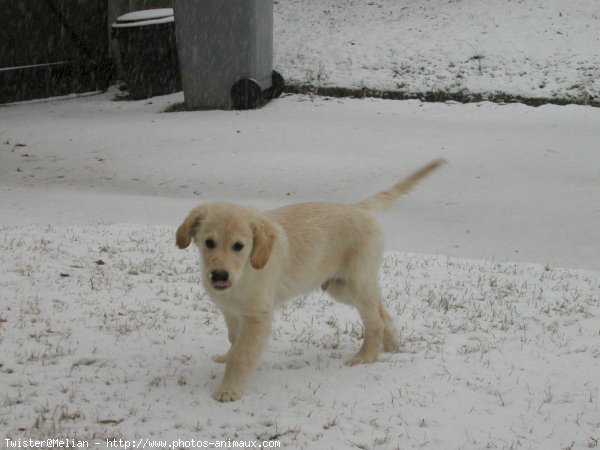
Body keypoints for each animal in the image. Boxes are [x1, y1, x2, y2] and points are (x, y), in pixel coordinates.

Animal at [176, 159, 442, 400]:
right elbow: (235, 340)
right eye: (209, 242)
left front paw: (229, 389)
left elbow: (242, 353)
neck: (245, 273)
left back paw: (366, 356)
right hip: (342, 286)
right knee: (382, 311)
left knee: (374, 321)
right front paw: (228, 357)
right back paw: (391, 345)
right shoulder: (231, 311)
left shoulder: (258, 316)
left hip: (356, 282)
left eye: (239, 246)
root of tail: (359, 208)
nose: (219, 275)